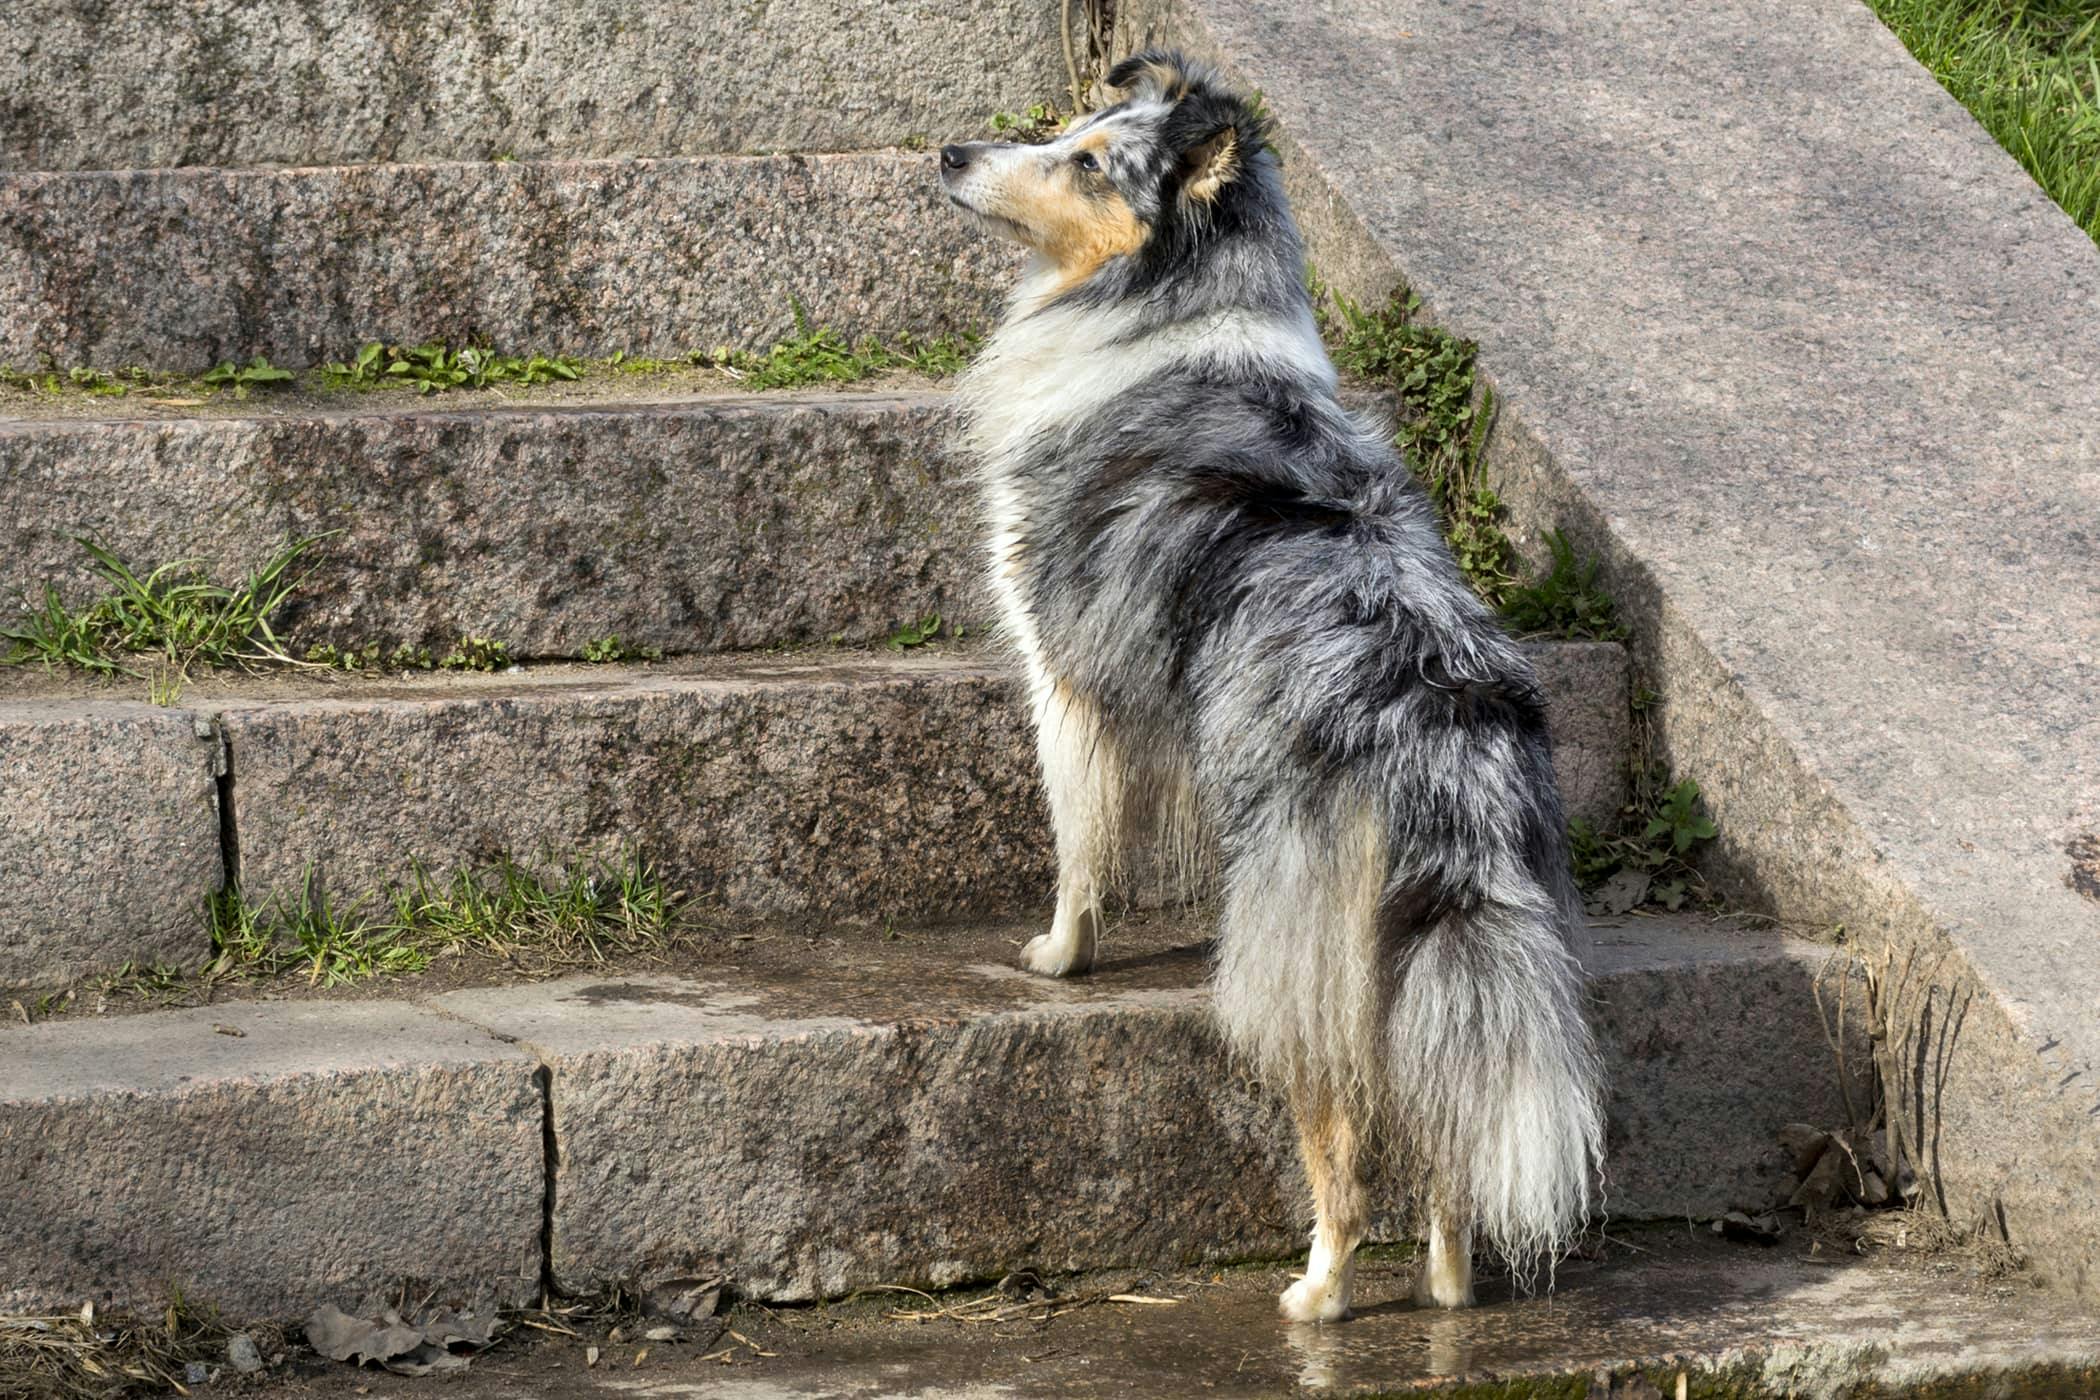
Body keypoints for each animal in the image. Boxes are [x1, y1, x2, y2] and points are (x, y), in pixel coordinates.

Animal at [936, 49, 1604, 1318]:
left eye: (1088, 160)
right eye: (1070, 127)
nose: (950, 153)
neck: (1178, 303)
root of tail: (1437, 742)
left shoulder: (1067, 668)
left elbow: (1081, 834)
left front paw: (1057, 954)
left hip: (1303, 961)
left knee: (1340, 1132)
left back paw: (1319, 1289)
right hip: (1450, 955)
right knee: (1448, 1128)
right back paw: (1449, 1283)